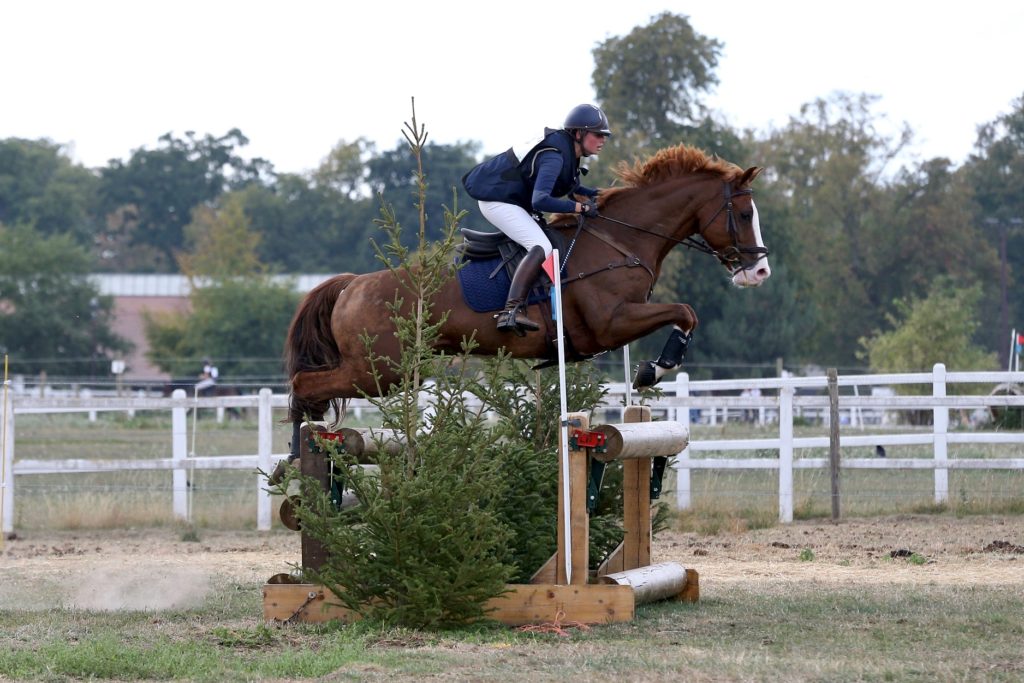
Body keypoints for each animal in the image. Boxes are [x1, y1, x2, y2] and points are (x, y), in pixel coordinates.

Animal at [280, 145, 770, 438]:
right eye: (745, 214)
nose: (760, 271)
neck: (621, 239)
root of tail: (351, 285)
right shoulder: (610, 324)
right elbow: (684, 311)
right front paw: (655, 368)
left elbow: (686, 314)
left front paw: (651, 369)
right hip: (381, 370)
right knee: (306, 382)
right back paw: (302, 443)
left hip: (388, 370)